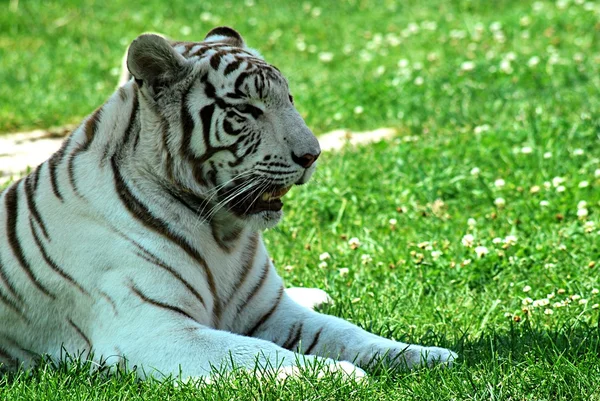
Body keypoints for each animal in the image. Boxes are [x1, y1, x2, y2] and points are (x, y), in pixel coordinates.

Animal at [0, 27, 458, 378]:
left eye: (289, 99)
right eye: (247, 110)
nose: (313, 155)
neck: (221, 234)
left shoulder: (271, 311)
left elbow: (346, 332)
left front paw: (430, 356)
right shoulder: (154, 330)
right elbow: (252, 352)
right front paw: (339, 375)